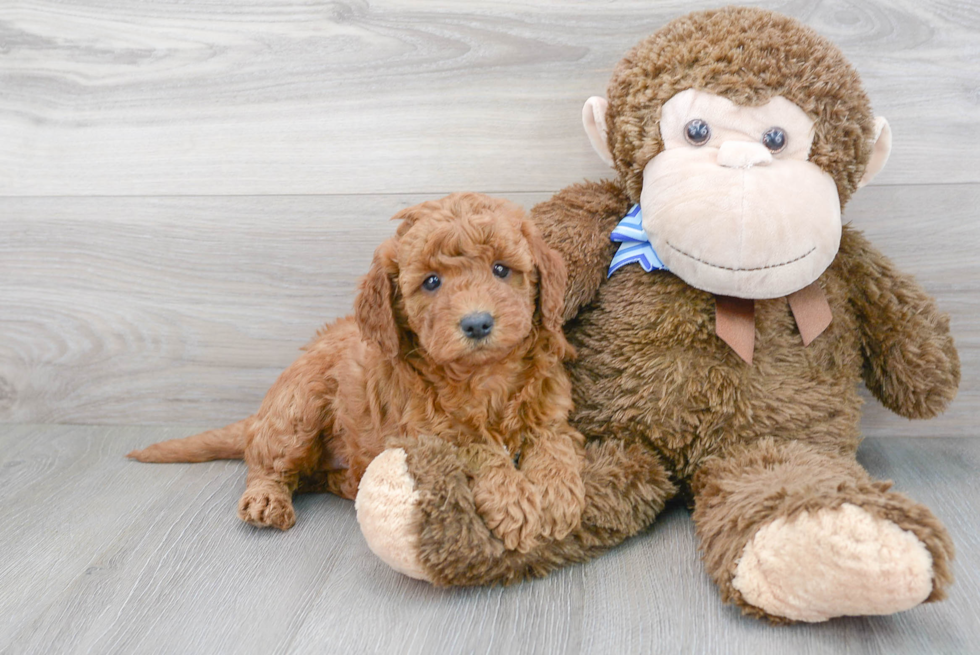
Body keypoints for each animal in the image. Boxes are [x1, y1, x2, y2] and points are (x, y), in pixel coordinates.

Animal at [131, 192, 588, 552]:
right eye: (432, 282)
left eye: (500, 269)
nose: (477, 324)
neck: (483, 377)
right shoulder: (425, 435)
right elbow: (477, 448)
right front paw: (515, 501)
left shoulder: (551, 413)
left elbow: (553, 446)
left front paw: (556, 496)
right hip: (297, 409)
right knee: (266, 464)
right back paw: (266, 500)